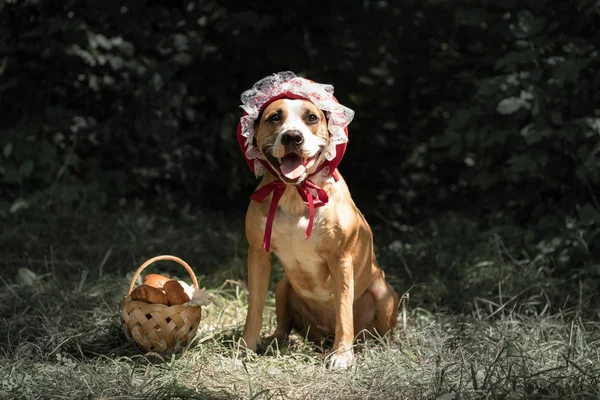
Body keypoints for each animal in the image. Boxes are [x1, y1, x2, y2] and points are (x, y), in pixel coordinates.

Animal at [238, 74, 398, 368]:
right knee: (284, 326)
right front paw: (246, 347)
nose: (292, 136)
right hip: (283, 286)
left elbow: (344, 312)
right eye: (274, 117)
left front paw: (343, 356)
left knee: (383, 332)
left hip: (383, 292)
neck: (295, 193)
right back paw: (271, 341)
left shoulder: (341, 260)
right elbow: (254, 307)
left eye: (311, 117)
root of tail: (321, 336)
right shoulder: (258, 255)